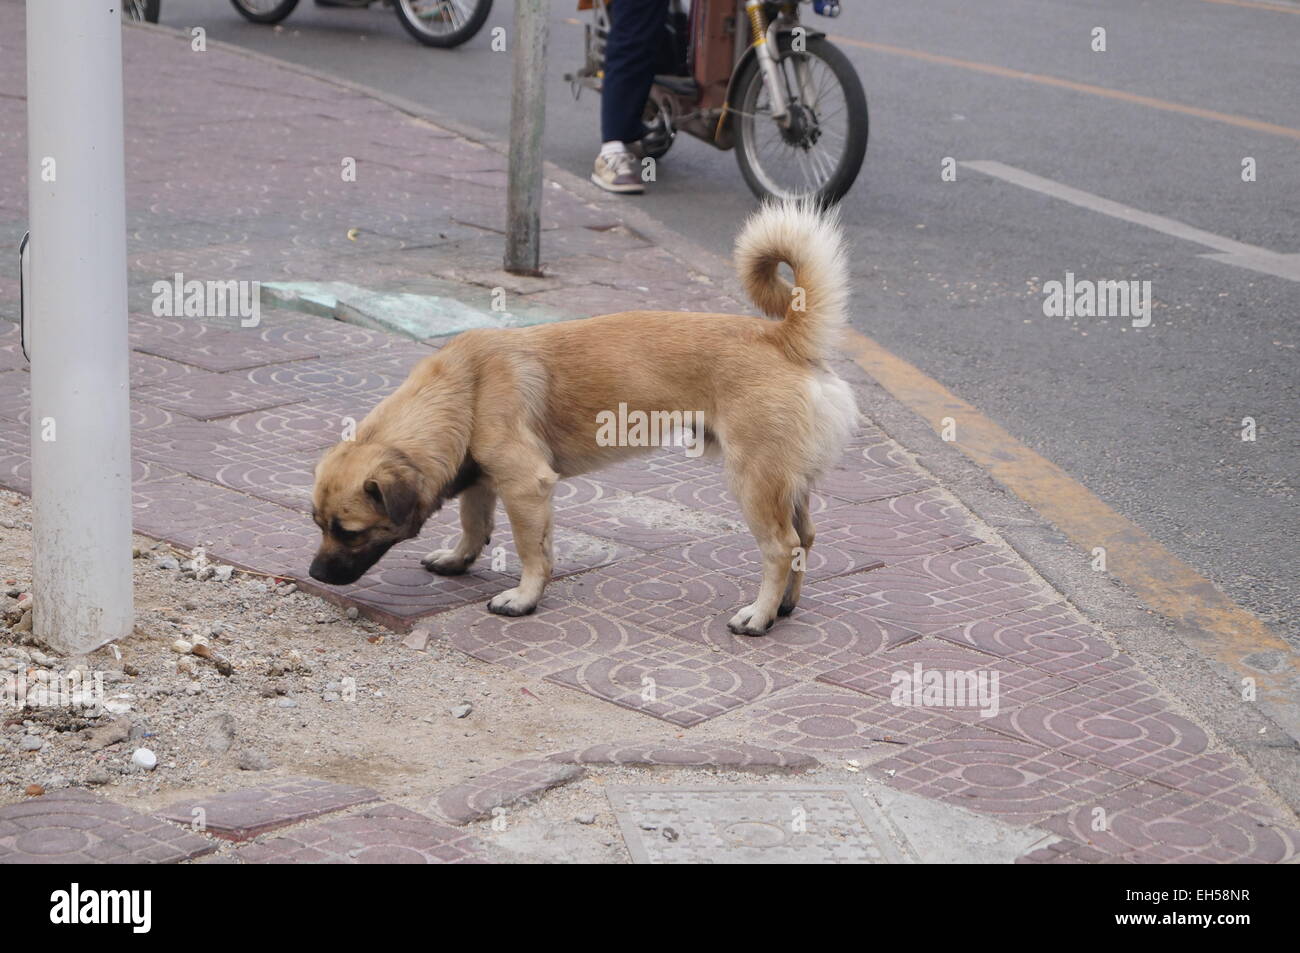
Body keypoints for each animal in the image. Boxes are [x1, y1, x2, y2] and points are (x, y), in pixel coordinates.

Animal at [312, 200, 863, 631]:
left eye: (350, 531)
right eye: (317, 523)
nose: (315, 575)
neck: (463, 387)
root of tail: (782, 337)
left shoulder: (526, 487)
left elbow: (532, 550)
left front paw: (524, 597)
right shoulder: (483, 478)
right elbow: (474, 524)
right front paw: (458, 558)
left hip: (753, 481)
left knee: (780, 546)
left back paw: (760, 615)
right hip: (786, 483)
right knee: (805, 538)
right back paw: (786, 606)